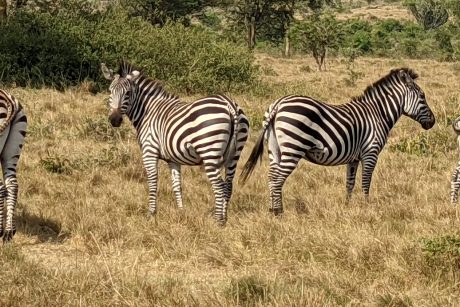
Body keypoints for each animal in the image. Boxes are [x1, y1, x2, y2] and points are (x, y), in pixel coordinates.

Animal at [101, 61, 248, 225]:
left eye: (127, 93)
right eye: (110, 91)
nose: (114, 120)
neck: (147, 111)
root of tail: (229, 104)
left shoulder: (149, 152)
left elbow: (153, 182)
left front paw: (151, 214)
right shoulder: (173, 159)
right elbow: (177, 185)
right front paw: (181, 212)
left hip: (209, 151)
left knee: (219, 186)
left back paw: (218, 221)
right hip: (235, 154)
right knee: (228, 186)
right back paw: (225, 219)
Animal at [241, 68, 434, 215]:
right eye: (422, 96)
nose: (433, 122)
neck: (378, 113)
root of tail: (278, 104)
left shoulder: (353, 158)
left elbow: (350, 183)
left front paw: (347, 206)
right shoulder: (370, 153)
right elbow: (366, 182)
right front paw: (367, 206)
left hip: (274, 148)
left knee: (271, 176)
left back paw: (272, 210)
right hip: (293, 147)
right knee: (277, 179)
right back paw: (279, 212)